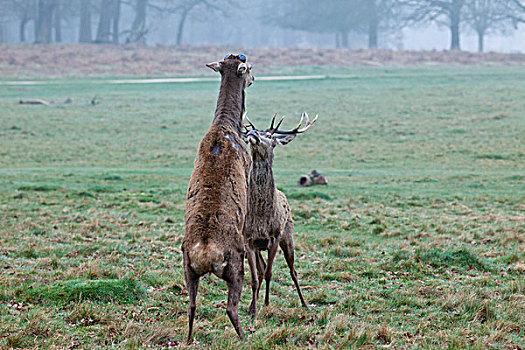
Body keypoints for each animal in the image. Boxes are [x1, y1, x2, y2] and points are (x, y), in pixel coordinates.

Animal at [181, 54, 253, 342]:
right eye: (249, 68)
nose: (253, 79)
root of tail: (205, 253)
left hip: (187, 268)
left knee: (191, 306)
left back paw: (189, 339)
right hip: (235, 264)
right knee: (231, 308)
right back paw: (246, 336)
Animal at [241, 111, 316, 318]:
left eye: (270, 136)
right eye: (252, 131)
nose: (252, 134)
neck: (260, 216)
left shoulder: (274, 237)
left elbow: (269, 273)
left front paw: (266, 304)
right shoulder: (249, 240)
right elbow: (255, 276)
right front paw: (252, 309)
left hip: (288, 236)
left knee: (293, 270)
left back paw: (304, 303)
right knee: (260, 270)